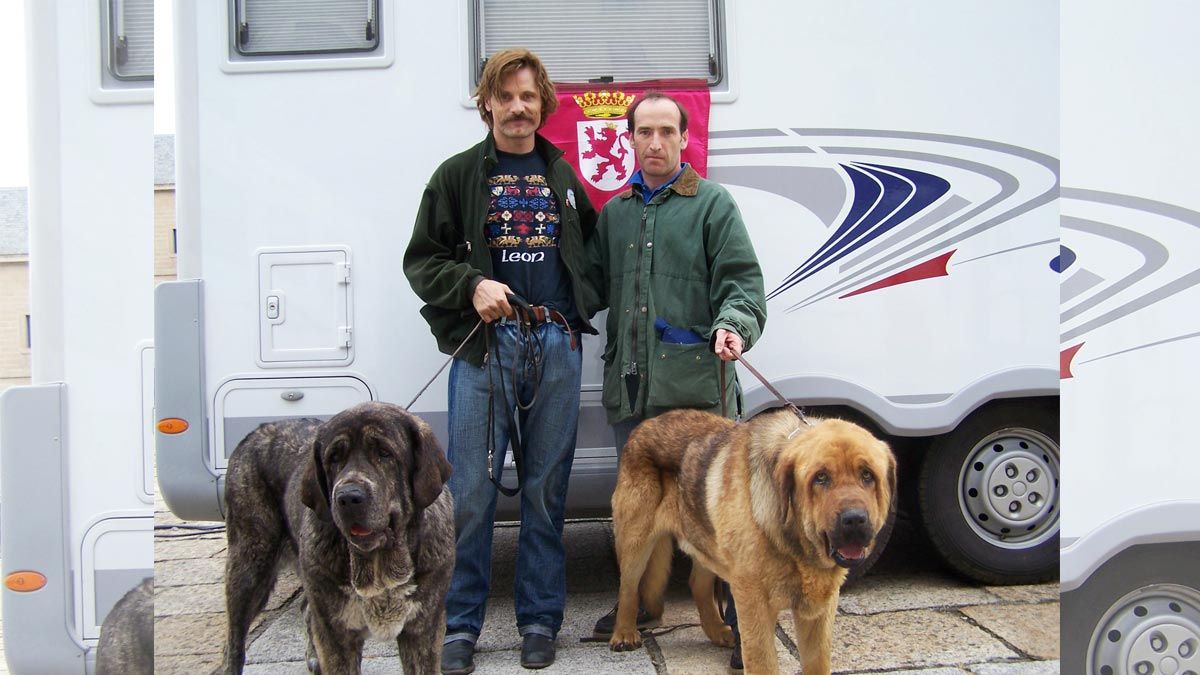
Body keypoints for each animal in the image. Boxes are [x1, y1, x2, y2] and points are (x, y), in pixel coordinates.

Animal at [220, 401, 453, 672]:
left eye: (385, 453)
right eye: (333, 458)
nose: (348, 497)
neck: (379, 567)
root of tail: (257, 431)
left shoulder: (423, 630)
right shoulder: (337, 635)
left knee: (305, 607)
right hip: (250, 567)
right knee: (234, 644)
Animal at [609, 403, 892, 672]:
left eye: (867, 475)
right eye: (820, 477)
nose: (854, 519)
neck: (793, 539)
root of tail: (644, 425)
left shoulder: (819, 614)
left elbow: (817, 664)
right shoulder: (754, 603)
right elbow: (762, 663)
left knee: (698, 584)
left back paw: (717, 630)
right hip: (636, 540)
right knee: (628, 586)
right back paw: (623, 633)